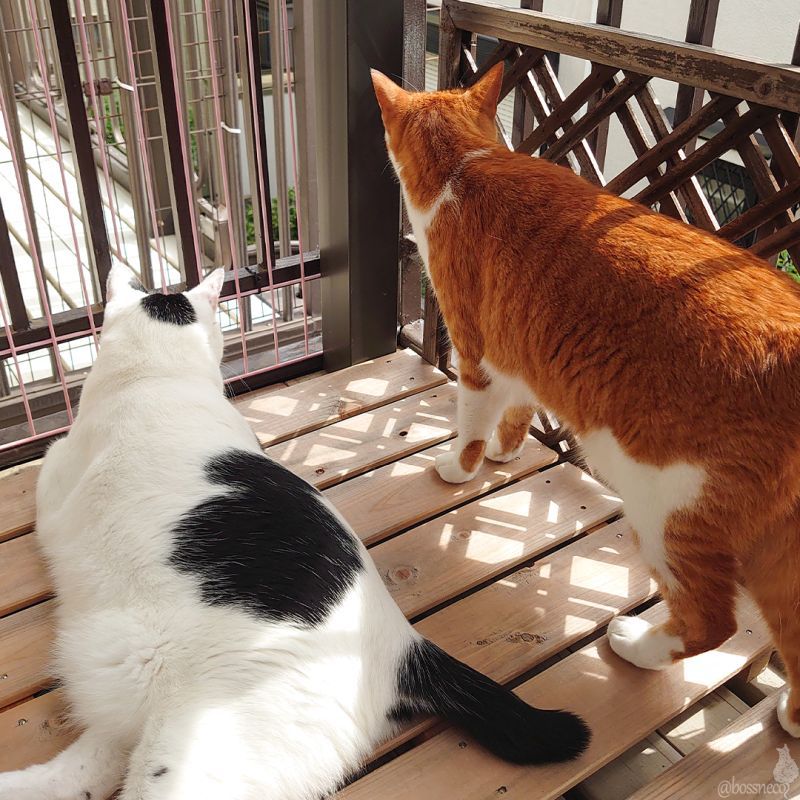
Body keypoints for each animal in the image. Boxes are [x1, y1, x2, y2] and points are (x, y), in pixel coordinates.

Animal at [372, 63, 800, 739]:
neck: (464, 163)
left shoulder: (476, 351)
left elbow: (471, 424)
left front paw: (460, 467)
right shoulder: (521, 357)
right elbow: (519, 412)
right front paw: (505, 453)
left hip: (669, 513)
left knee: (714, 622)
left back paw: (636, 646)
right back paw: (791, 718)